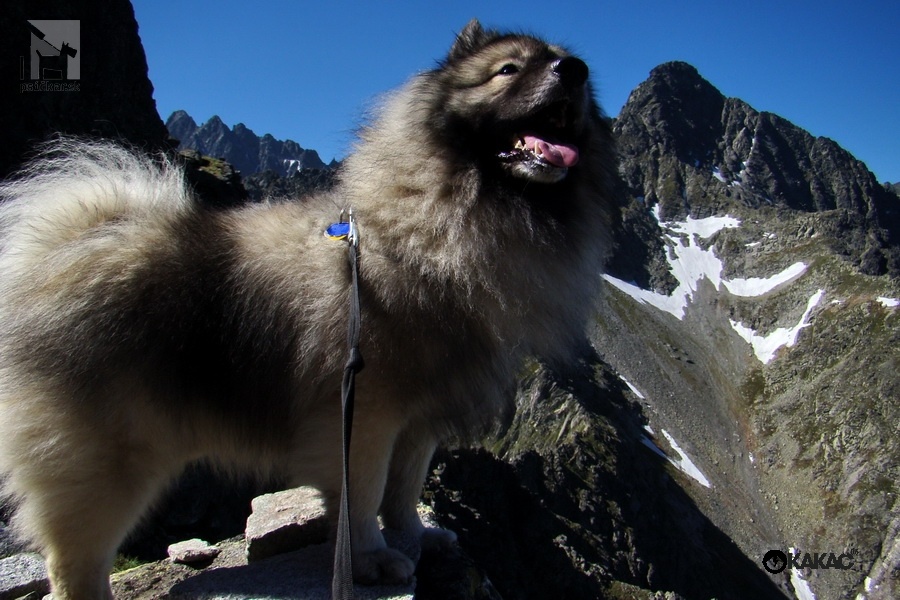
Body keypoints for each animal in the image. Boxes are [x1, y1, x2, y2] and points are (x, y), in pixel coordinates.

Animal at [0, 21, 616, 596]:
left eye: (571, 71)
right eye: (508, 70)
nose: (575, 70)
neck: (429, 225)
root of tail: (66, 251)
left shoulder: (419, 422)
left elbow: (403, 493)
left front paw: (416, 540)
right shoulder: (364, 414)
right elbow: (363, 497)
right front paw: (370, 561)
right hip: (107, 466)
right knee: (74, 563)